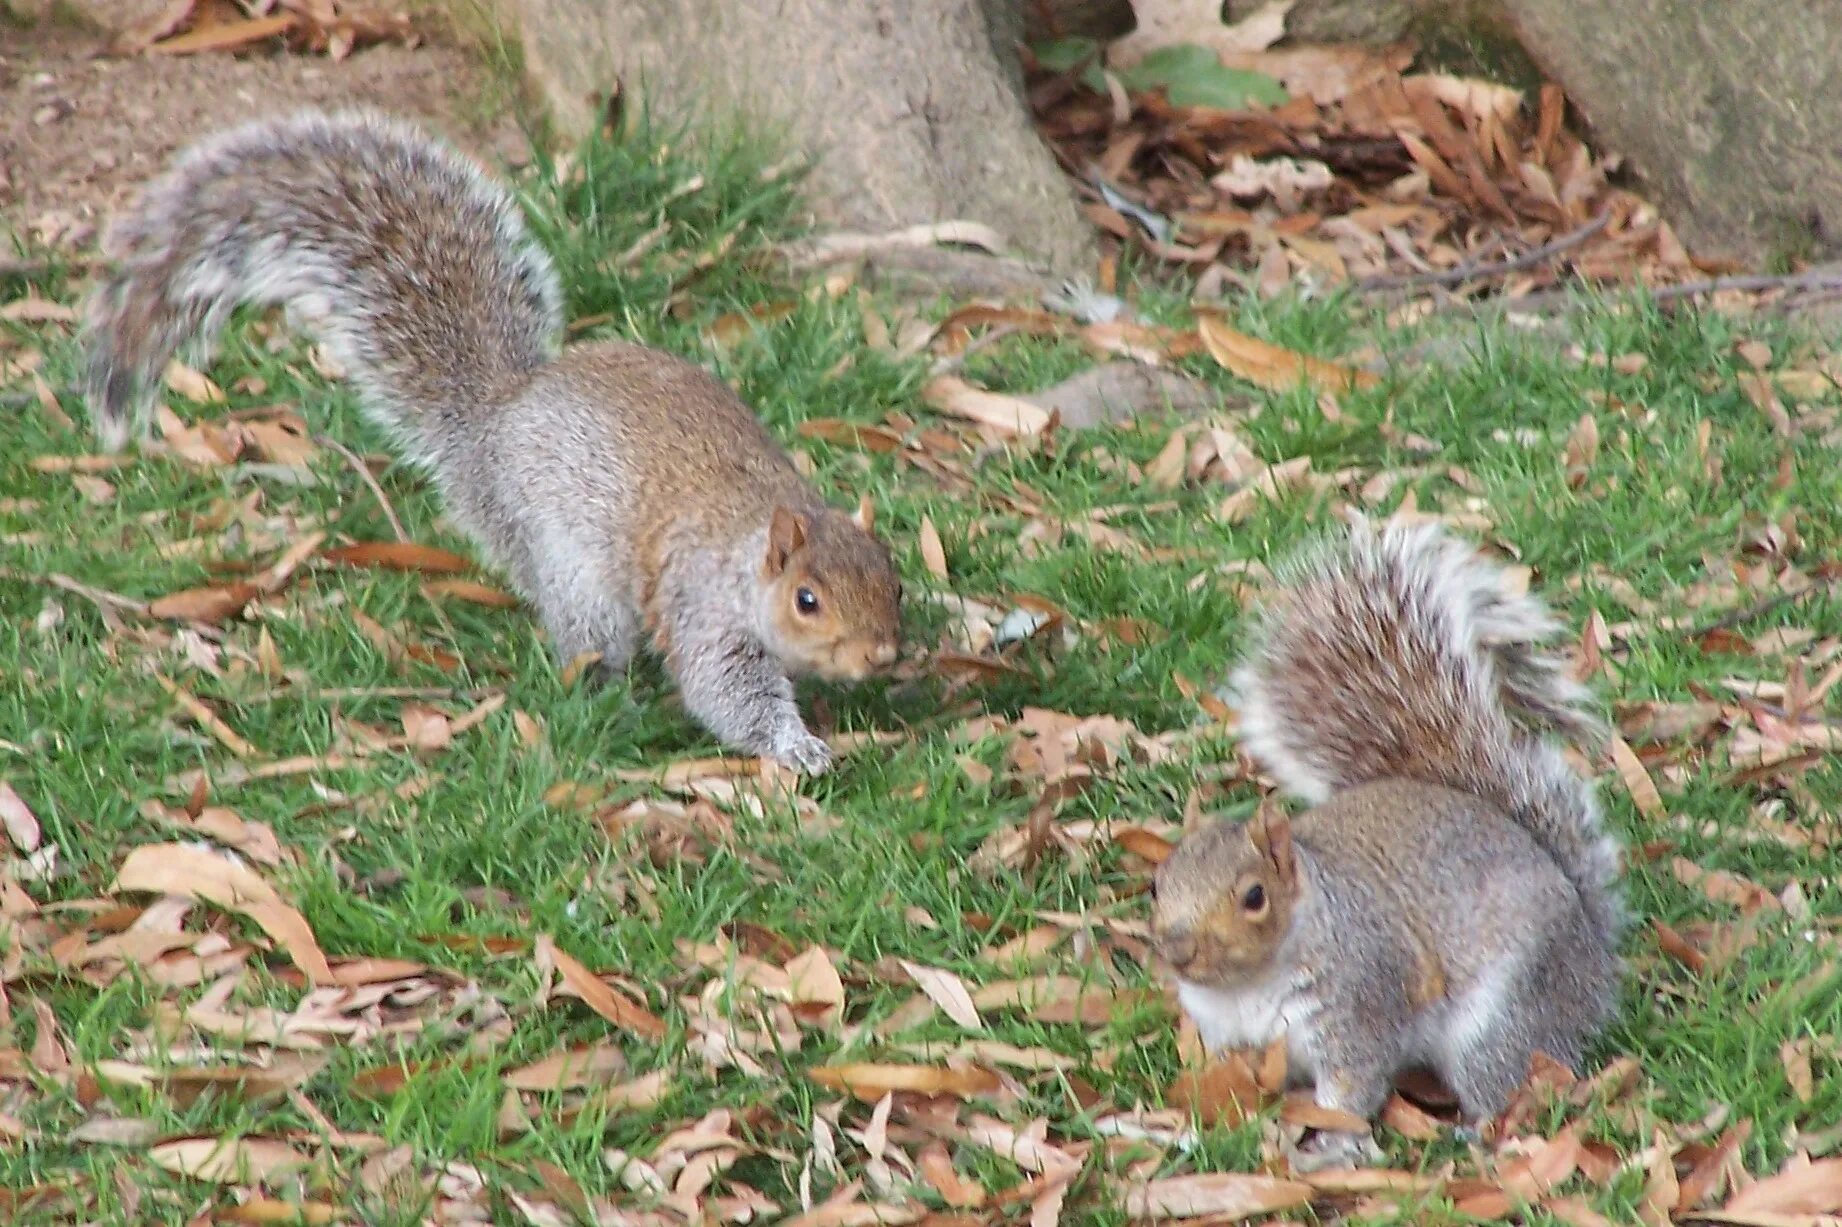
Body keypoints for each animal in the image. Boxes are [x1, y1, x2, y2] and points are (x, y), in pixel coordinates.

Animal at [82, 110, 902, 770]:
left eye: (895, 581)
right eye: (806, 600)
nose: (885, 653)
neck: (754, 529)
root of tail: (498, 418)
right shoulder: (701, 603)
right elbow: (726, 687)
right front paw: (796, 745)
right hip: (572, 569)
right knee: (584, 636)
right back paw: (606, 693)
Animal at [1149, 512, 1628, 1164]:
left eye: (1254, 896)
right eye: (1157, 886)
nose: (1176, 949)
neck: (1249, 986)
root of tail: (1591, 951)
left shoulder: (1359, 1001)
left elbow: (1352, 1087)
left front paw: (1331, 1144)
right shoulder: (1233, 1040)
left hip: (1504, 1014)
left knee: (1505, 1077)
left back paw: (1472, 1130)